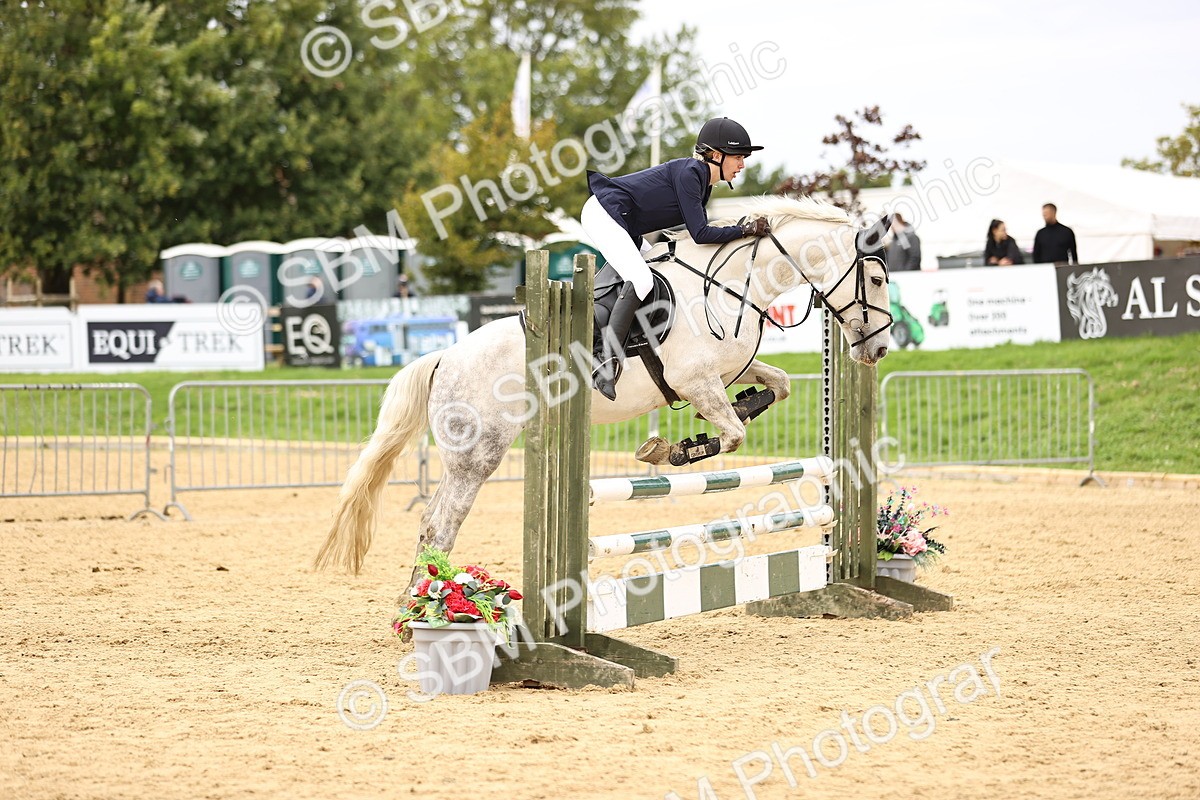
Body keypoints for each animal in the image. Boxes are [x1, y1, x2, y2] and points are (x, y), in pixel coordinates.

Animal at [314, 196, 893, 590]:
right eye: (878, 279)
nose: (880, 348)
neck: (729, 284)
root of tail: (444, 358)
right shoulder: (695, 380)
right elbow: (729, 437)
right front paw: (673, 450)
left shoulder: (725, 372)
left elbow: (777, 387)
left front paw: (743, 407)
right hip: (477, 454)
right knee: (439, 523)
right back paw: (420, 607)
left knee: (433, 524)